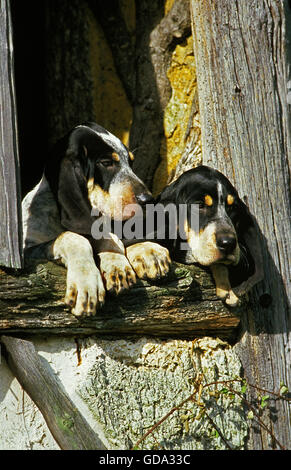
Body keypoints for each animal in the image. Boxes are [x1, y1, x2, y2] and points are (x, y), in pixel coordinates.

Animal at [22, 123, 171, 318]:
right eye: (106, 163)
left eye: (130, 163)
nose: (148, 199)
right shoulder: (28, 251)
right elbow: (74, 237)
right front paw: (87, 283)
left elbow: (111, 237)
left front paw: (142, 252)